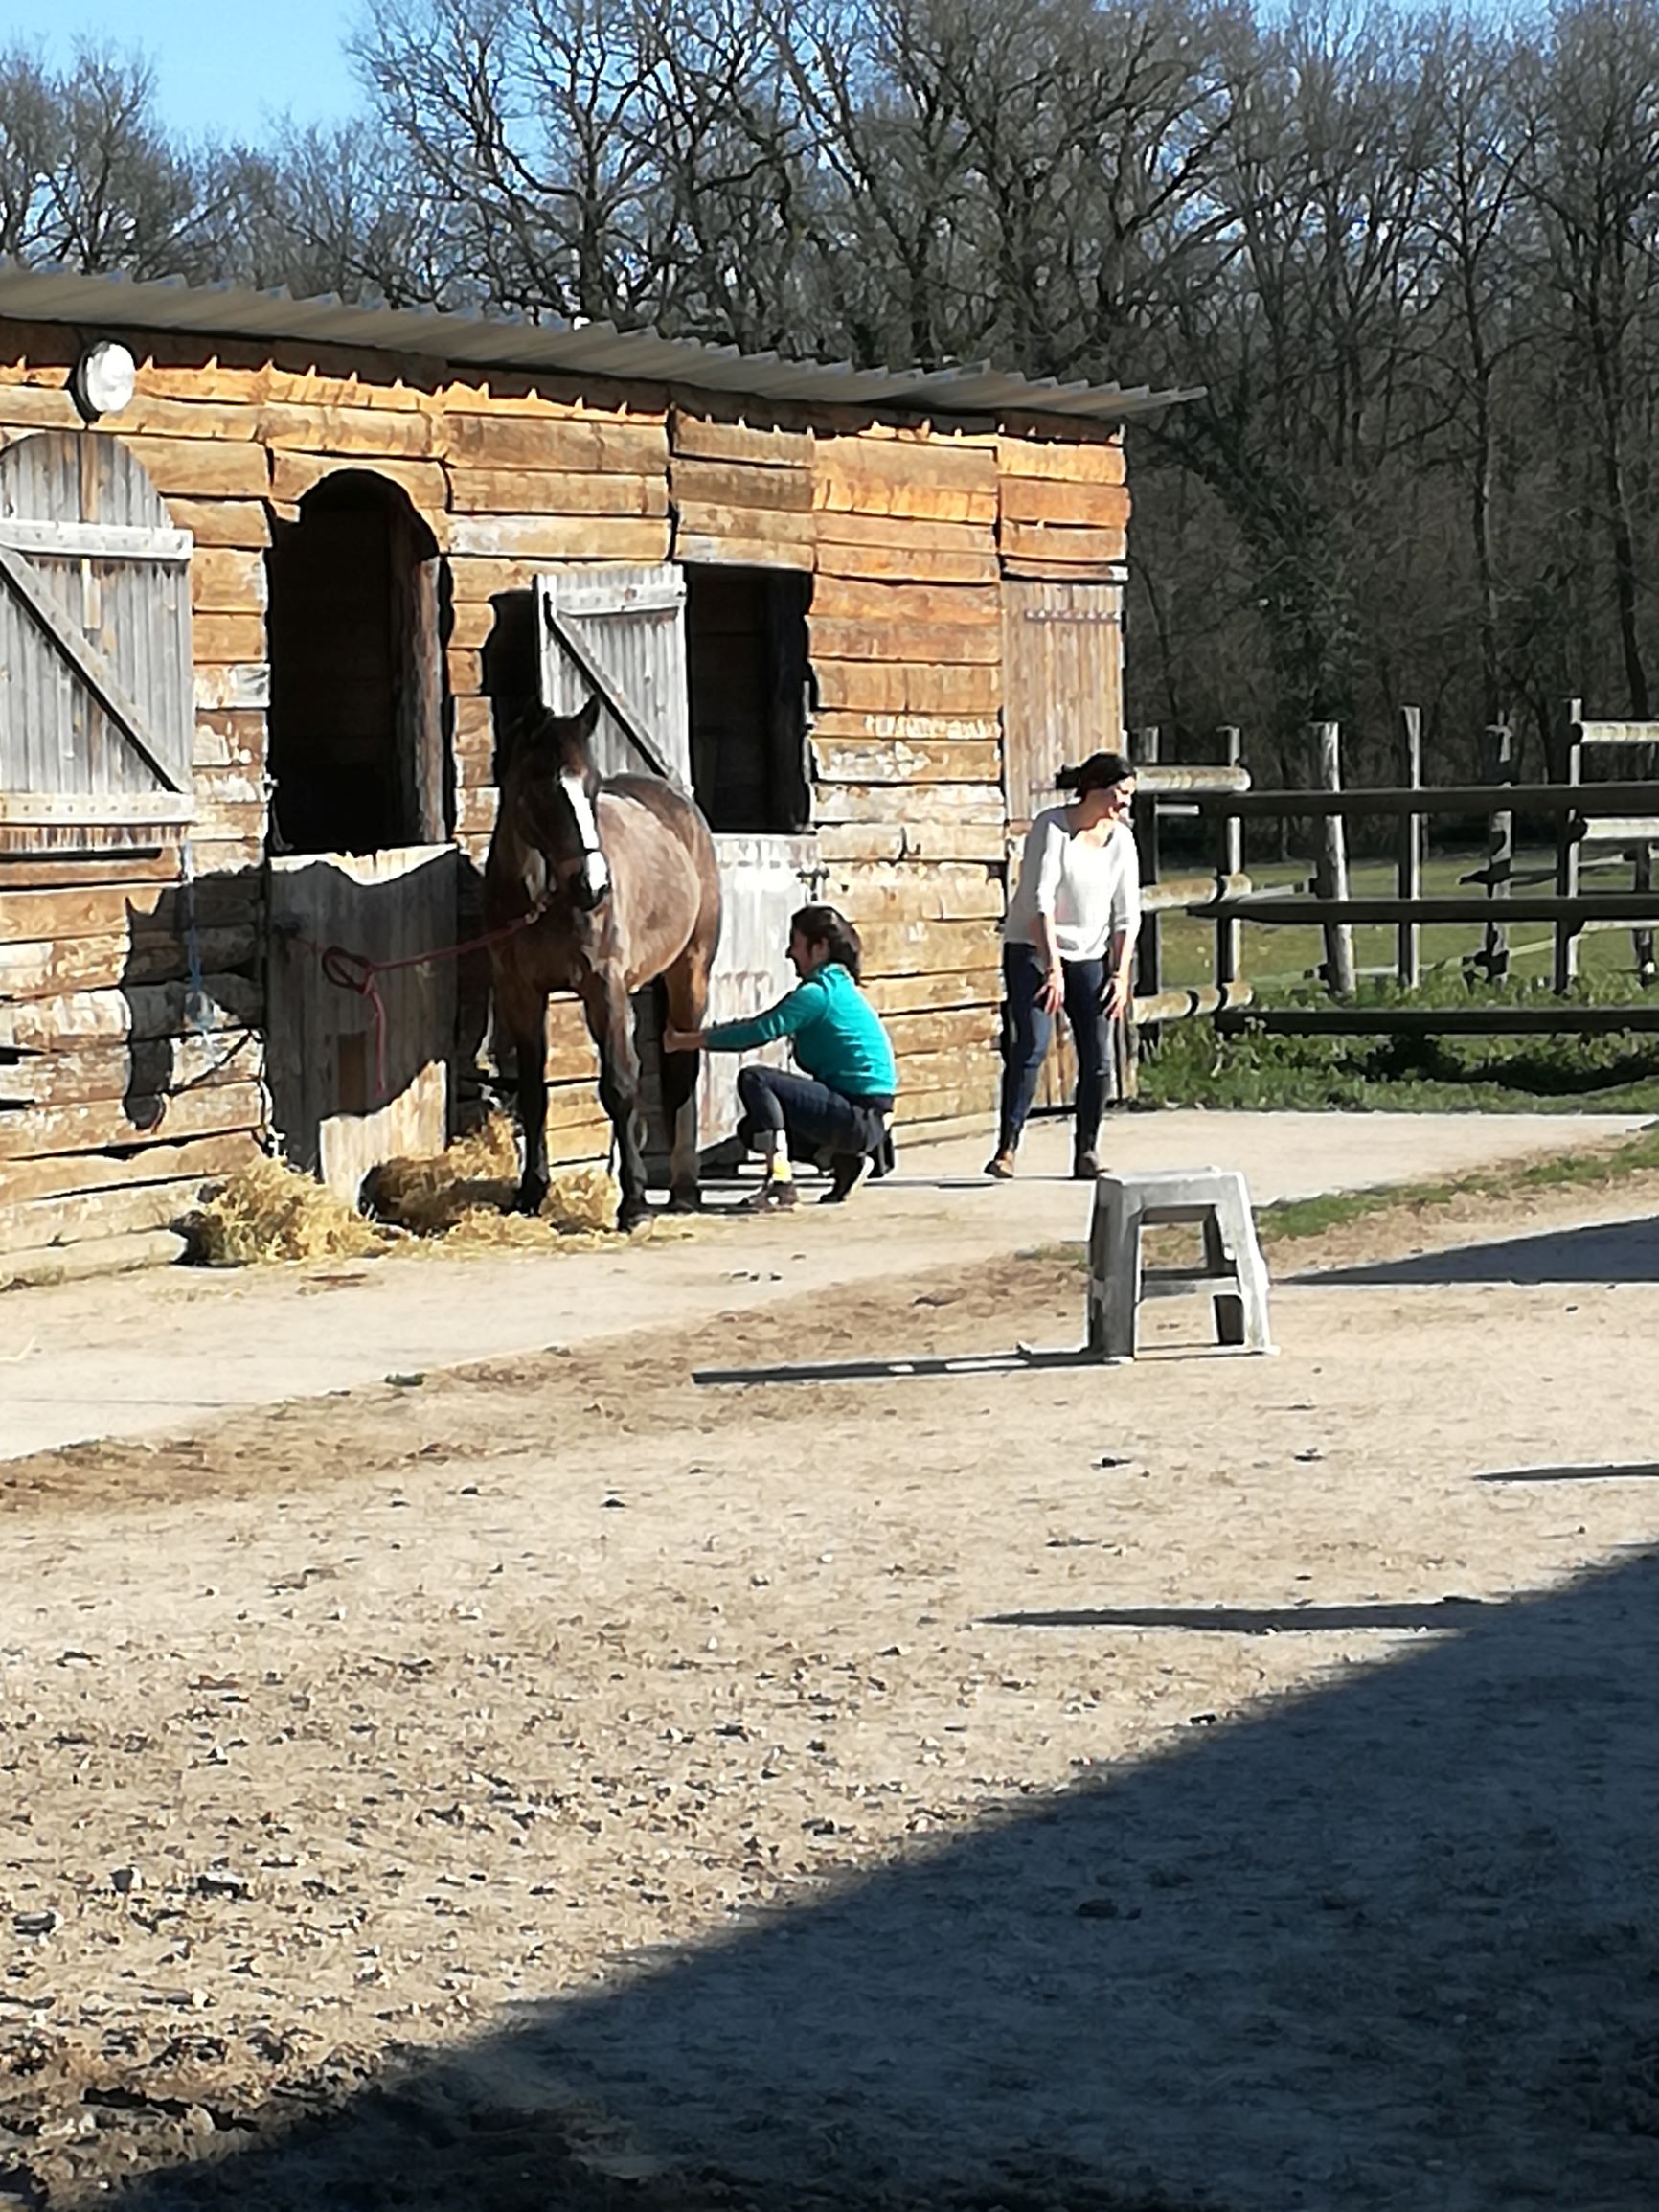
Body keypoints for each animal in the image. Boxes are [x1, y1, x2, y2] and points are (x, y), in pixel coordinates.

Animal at [487, 698, 725, 1239]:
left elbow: (619, 1085)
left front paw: (633, 1203)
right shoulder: (519, 993)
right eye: (543, 787)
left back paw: (682, 1190)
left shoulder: (602, 987)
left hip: (689, 971)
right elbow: (533, 1092)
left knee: (680, 1067)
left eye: (592, 786)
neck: (543, 896)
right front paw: (531, 1192)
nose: (594, 886)